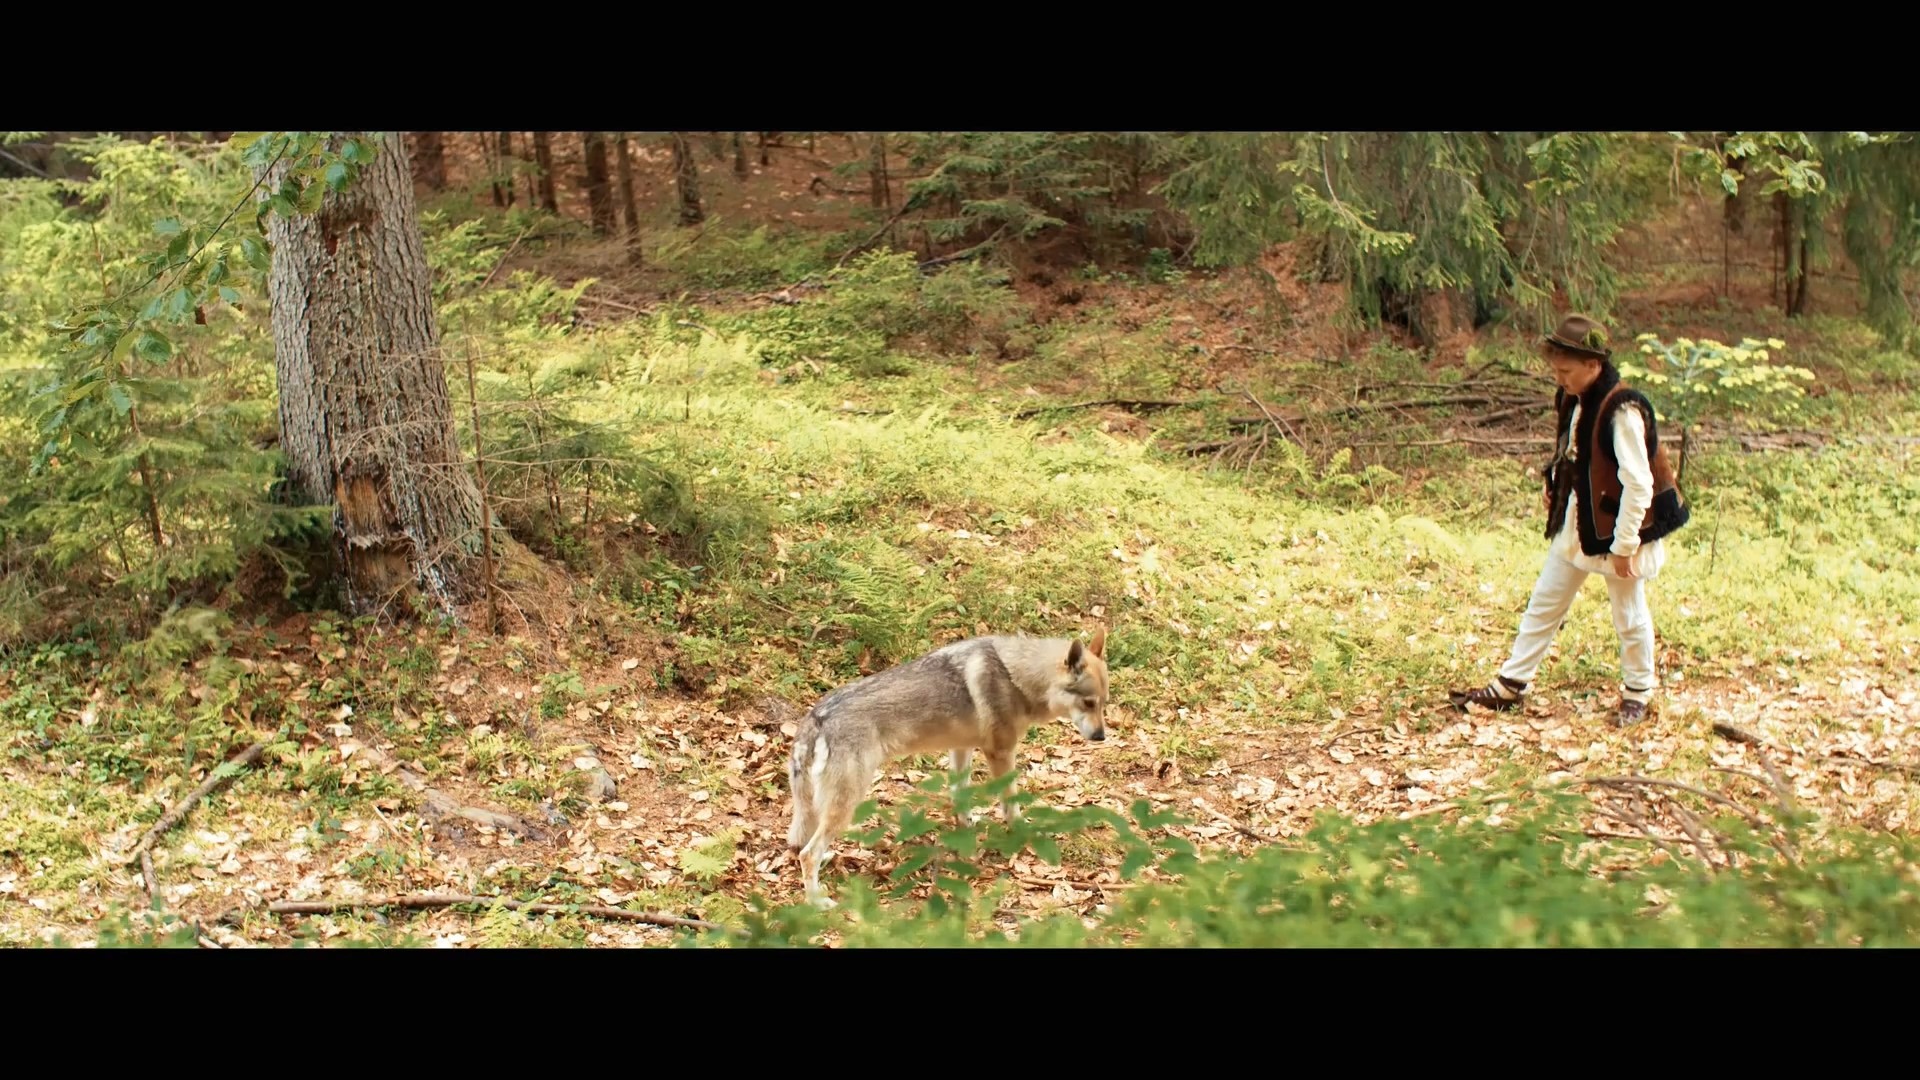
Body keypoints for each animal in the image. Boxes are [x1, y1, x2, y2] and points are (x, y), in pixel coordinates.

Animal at [783, 626, 1113, 903]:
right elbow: (1011, 805)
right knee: (808, 854)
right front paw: (1021, 832)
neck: (1016, 676)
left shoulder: (962, 747)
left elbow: (960, 795)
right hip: (848, 801)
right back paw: (817, 902)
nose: (1101, 736)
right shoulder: (1001, 753)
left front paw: (965, 830)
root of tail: (816, 717)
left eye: (1103, 703)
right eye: (1087, 703)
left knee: (804, 847)